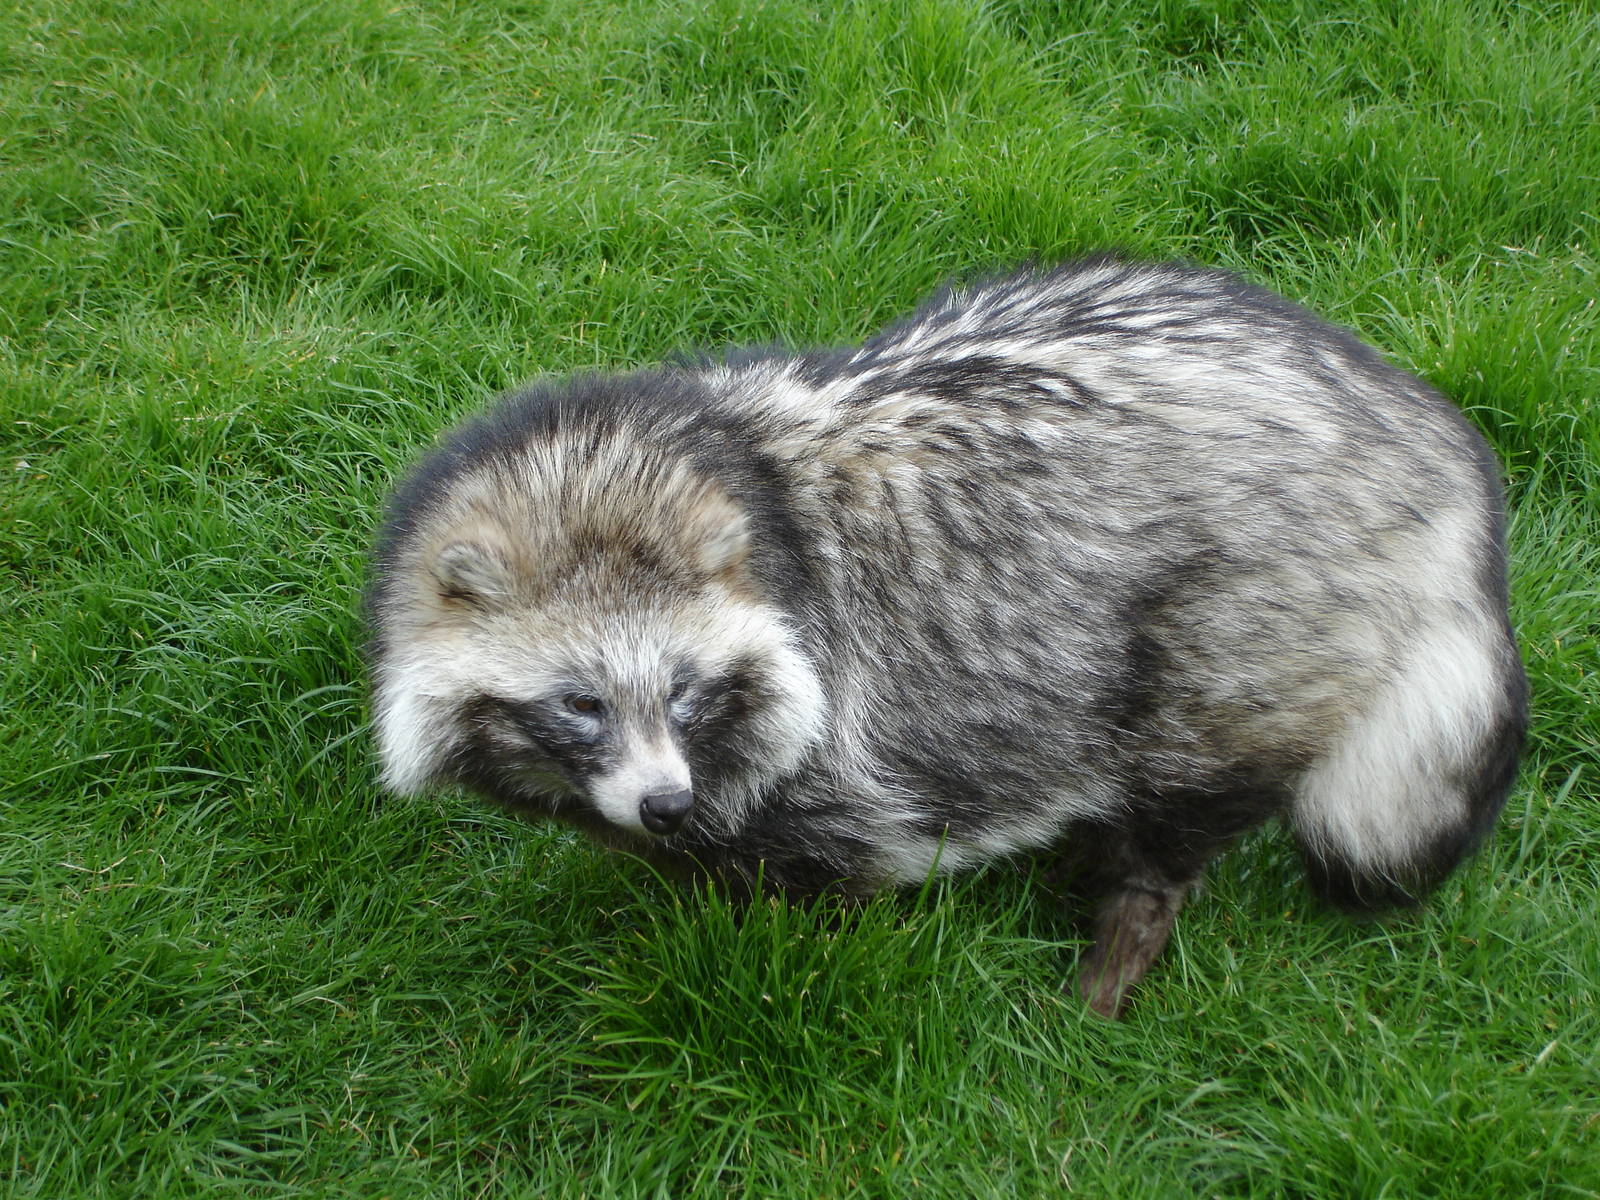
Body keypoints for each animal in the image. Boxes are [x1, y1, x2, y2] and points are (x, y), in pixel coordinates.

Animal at [367, 256, 1527, 1017]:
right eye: (581, 702)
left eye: (687, 689)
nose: (665, 804)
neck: (718, 460)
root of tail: (1434, 441)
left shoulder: (832, 747)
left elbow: (826, 884)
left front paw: (761, 942)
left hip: (1252, 624)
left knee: (1187, 793)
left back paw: (1121, 933)